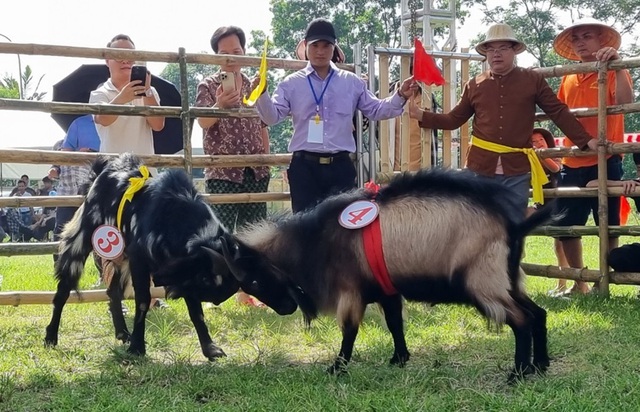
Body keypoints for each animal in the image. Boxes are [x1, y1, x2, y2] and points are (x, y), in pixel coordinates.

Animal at [43, 153, 298, 358]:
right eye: (254, 282)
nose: (290, 305)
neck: (174, 217)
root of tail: (103, 170)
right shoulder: (141, 261)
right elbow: (143, 301)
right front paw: (137, 348)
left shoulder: (187, 274)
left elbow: (196, 312)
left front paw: (210, 349)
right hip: (80, 242)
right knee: (63, 291)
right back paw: (51, 337)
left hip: (120, 259)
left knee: (113, 292)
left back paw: (122, 332)